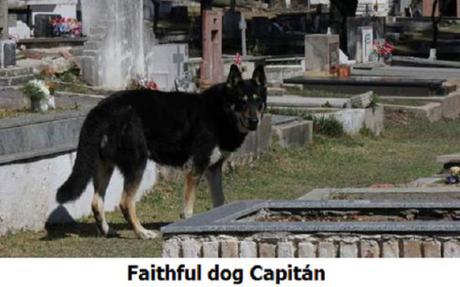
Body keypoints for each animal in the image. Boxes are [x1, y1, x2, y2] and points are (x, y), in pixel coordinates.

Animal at [55, 65, 268, 241]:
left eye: (258, 101)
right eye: (242, 102)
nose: (254, 122)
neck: (220, 111)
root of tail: (101, 109)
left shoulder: (213, 169)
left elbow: (220, 202)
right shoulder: (195, 168)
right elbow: (188, 208)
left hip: (106, 167)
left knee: (96, 203)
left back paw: (108, 231)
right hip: (137, 164)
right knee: (125, 203)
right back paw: (142, 233)